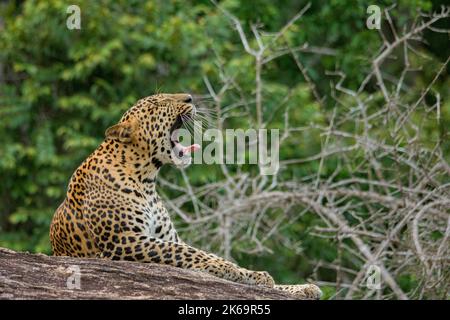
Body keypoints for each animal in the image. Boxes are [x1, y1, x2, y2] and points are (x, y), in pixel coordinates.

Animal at [51, 93, 322, 300]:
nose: (190, 97)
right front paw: (231, 269)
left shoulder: (161, 237)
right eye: (157, 103)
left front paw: (292, 286)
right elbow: (190, 252)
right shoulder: (123, 240)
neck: (146, 179)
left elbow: (187, 248)